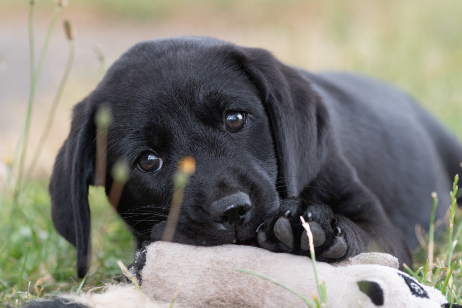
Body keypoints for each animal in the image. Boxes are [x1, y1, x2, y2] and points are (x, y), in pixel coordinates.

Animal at [49, 36, 462, 276]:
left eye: (234, 119)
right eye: (148, 161)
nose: (232, 211)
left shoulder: (382, 228)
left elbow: (362, 236)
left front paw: (313, 227)